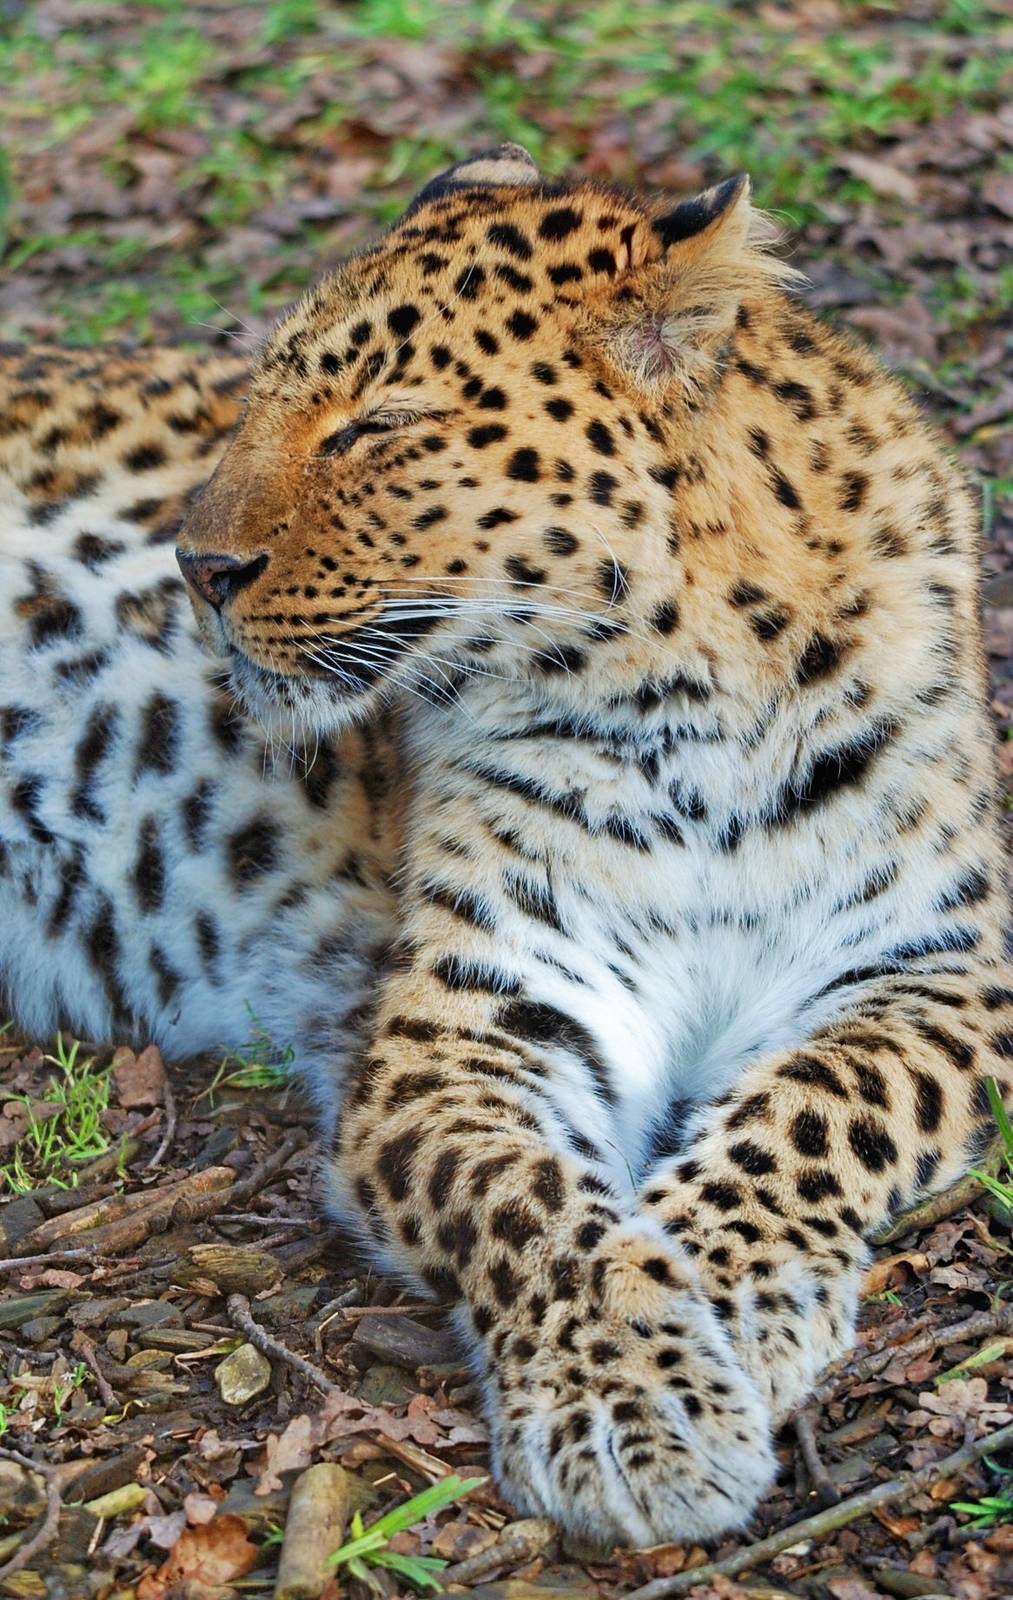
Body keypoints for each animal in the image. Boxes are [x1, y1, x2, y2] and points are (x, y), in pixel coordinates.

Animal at [1, 143, 1010, 1550]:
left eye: (379, 423)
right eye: (257, 401)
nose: (195, 565)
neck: (685, 705)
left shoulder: (933, 970)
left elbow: (813, 1105)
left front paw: (722, 1296)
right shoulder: (484, 1008)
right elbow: (525, 1201)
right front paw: (636, 1402)